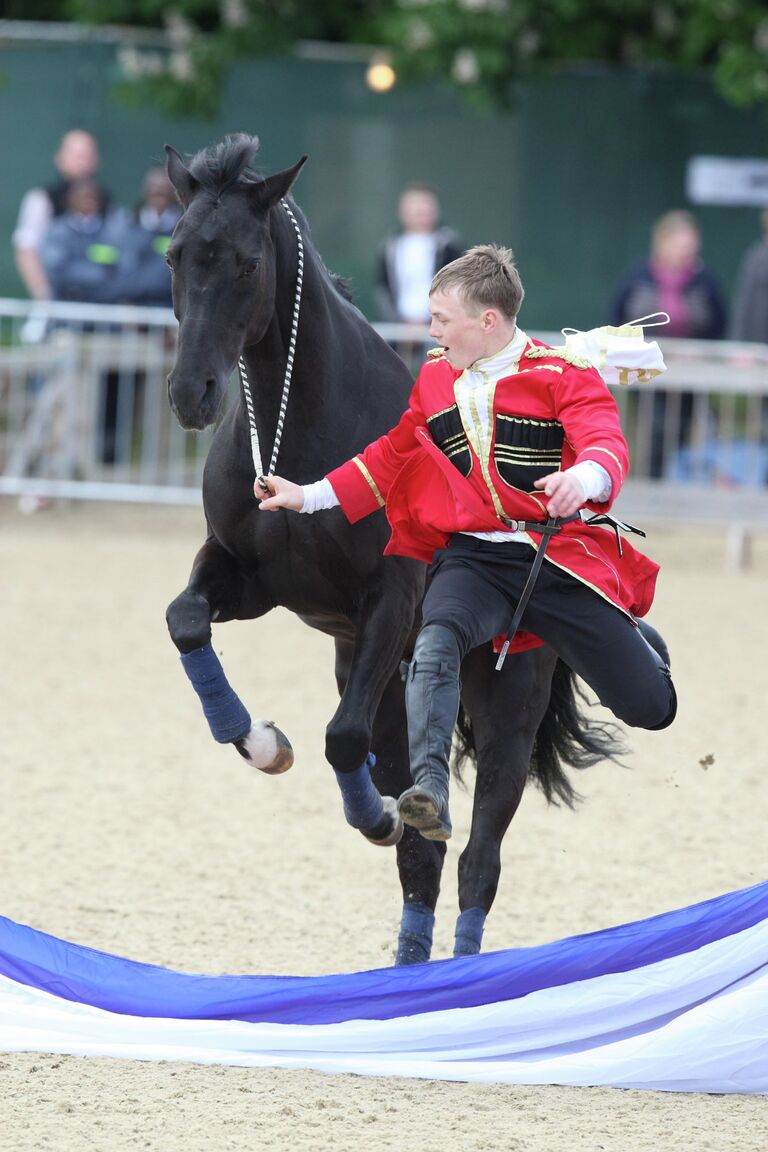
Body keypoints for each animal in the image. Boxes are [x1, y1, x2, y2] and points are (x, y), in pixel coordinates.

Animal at [165, 132, 621, 963]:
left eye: (245, 261)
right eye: (176, 253)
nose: (192, 394)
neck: (305, 424)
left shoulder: (392, 601)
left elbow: (342, 741)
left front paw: (375, 813)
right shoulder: (246, 579)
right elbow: (186, 622)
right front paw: (260, 742)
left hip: (504, 702)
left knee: (477, 859)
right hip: (390, 687)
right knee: (425, 860)